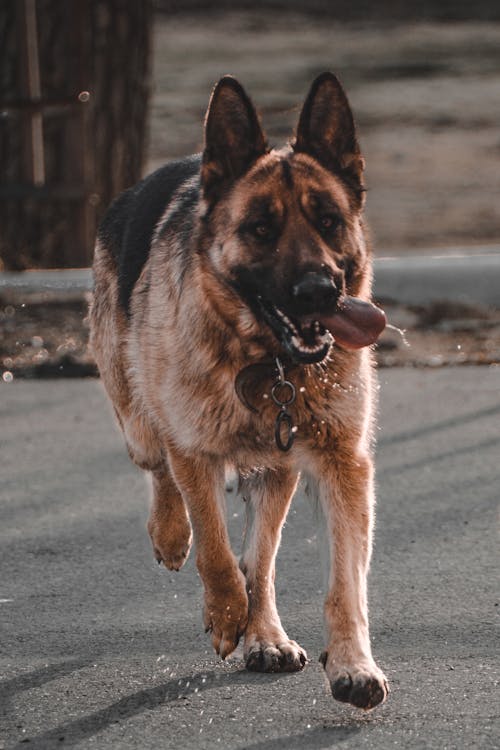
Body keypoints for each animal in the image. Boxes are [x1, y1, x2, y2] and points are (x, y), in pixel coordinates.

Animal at [90, 72, 388, 712]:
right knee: (161, 474)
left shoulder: (342, 465)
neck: (267, 363)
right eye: (260, 229)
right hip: (140, 422)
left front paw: (352, 665)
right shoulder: (193, 451)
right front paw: (226, 612)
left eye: (329, 221)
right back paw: (171, 537)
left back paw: (266, 634)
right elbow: (215, 549)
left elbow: (342, 583)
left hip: (278, 470)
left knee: (263, 558)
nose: (320, 290)